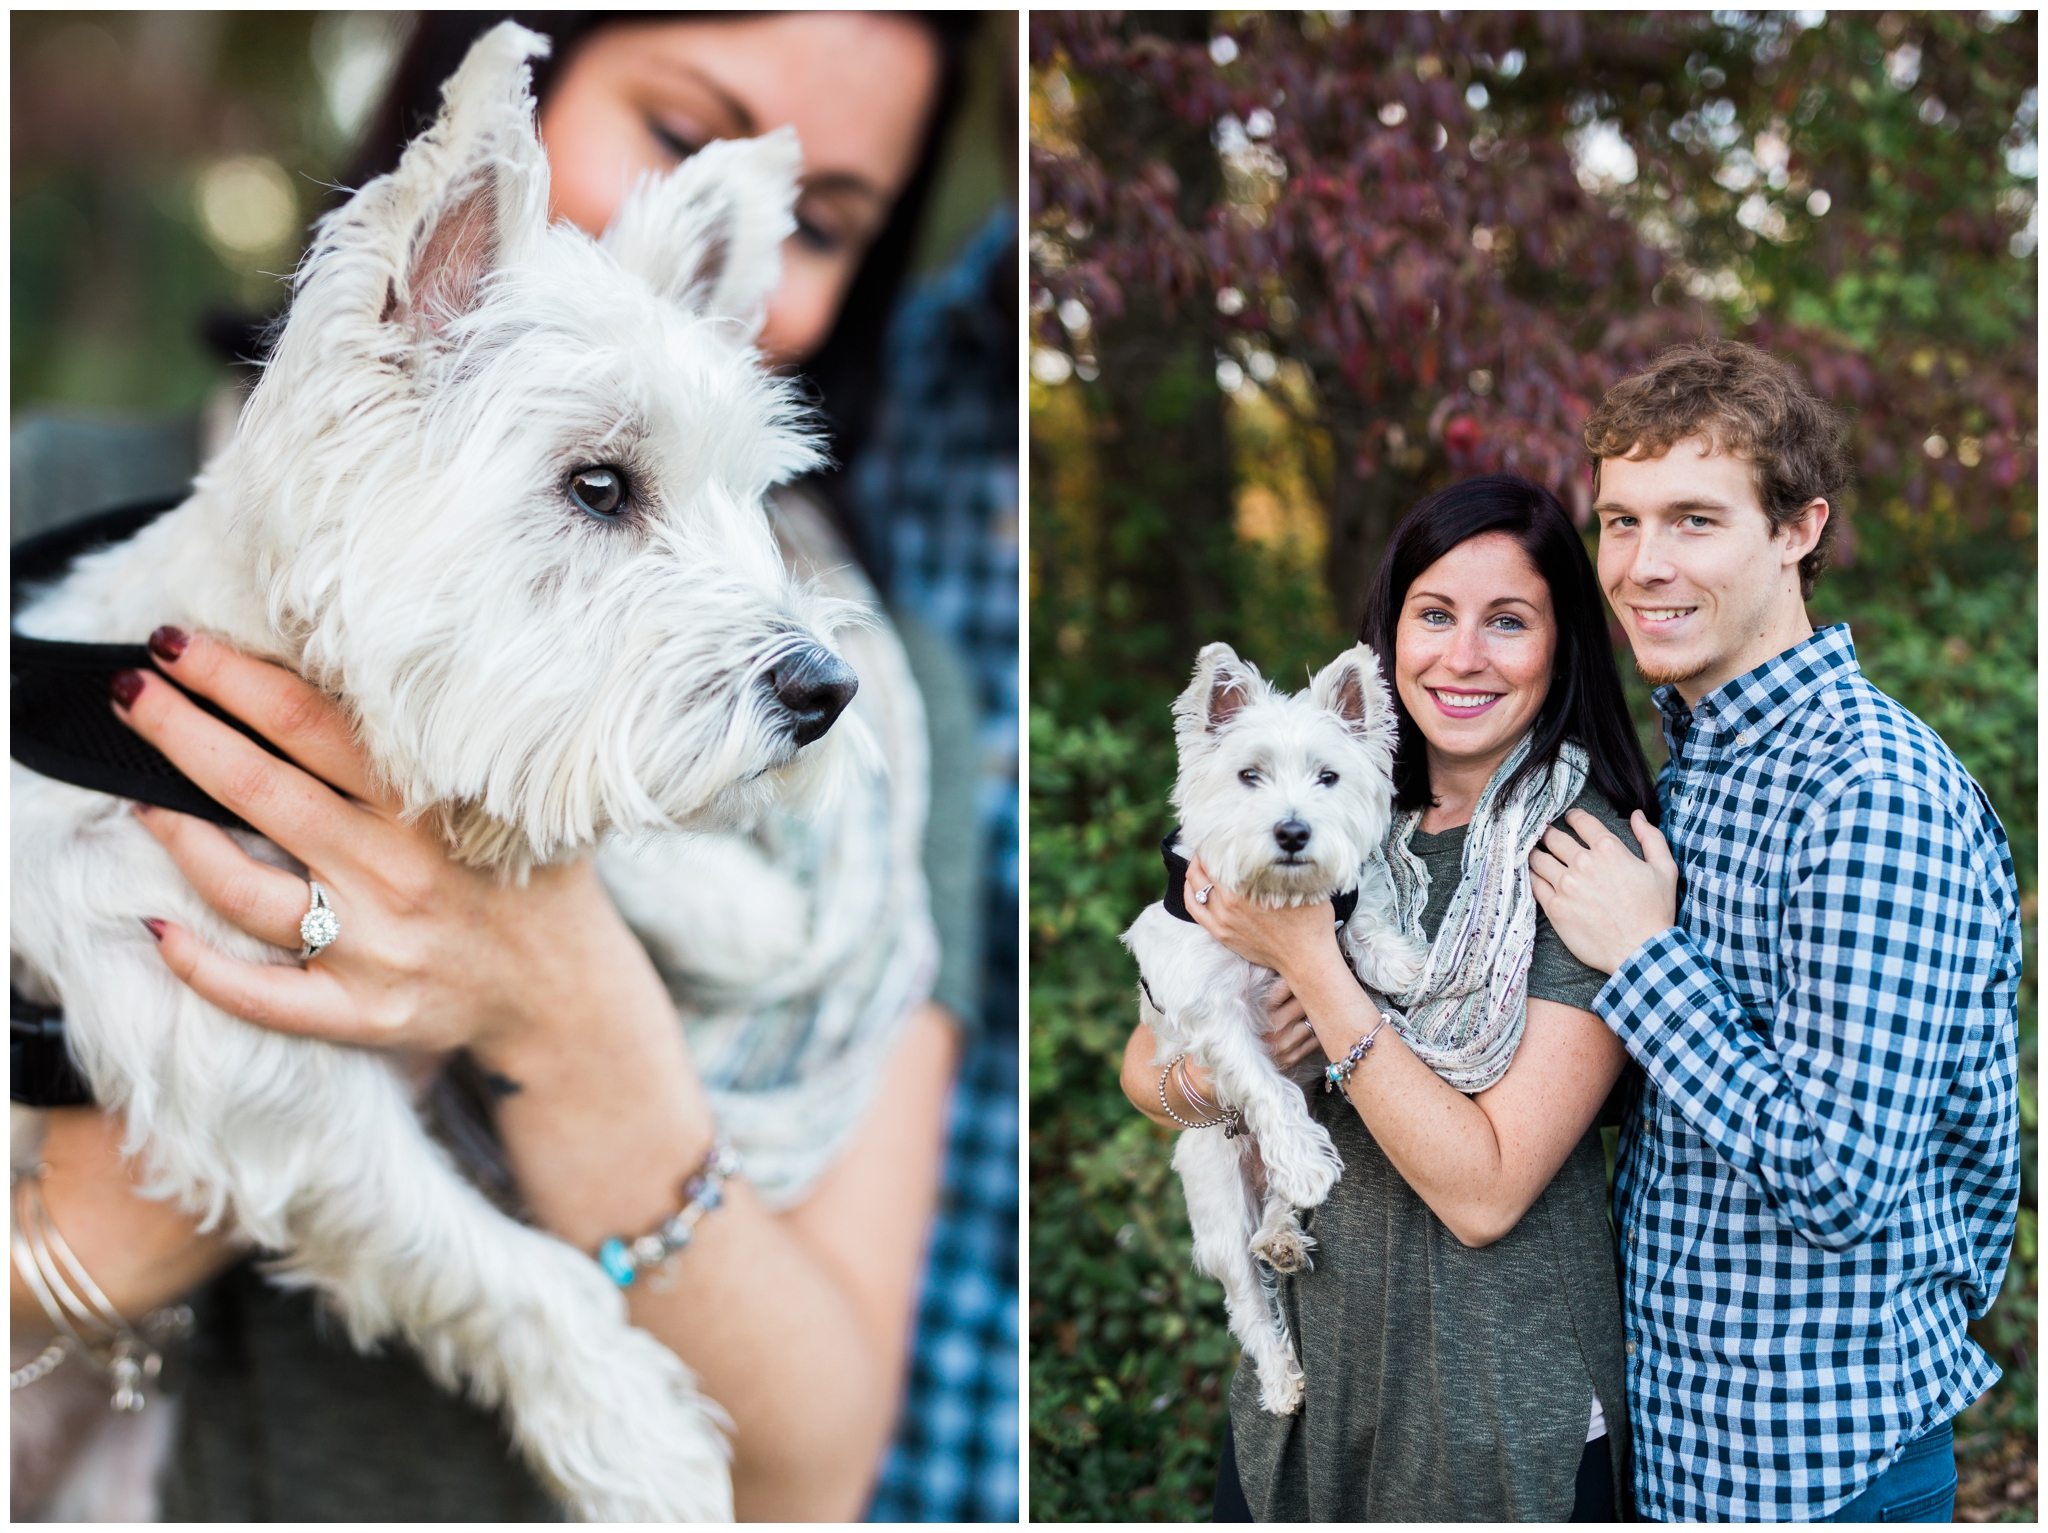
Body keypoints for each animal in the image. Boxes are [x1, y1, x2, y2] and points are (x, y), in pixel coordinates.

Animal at [9, 23, 856, 1522]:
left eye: (749, 498)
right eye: (597, 487)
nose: (827, 692)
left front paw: (731, 908)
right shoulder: (258, 1082)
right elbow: (512, 1275)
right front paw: (646, 1447)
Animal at [1122, 638, 1425, 1416]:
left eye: (1329, 776)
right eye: (1248, 775)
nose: (1293, 831)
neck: (1277, 898)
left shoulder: (1340, 906)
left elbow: (1359, 910)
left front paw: (1397, 960)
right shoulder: (1216, 1014)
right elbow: (1266, 1088)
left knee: (1281, 1212)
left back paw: (1285, 1236)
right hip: (1218, 1196)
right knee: (1247, 1299)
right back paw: (1283, 1378)